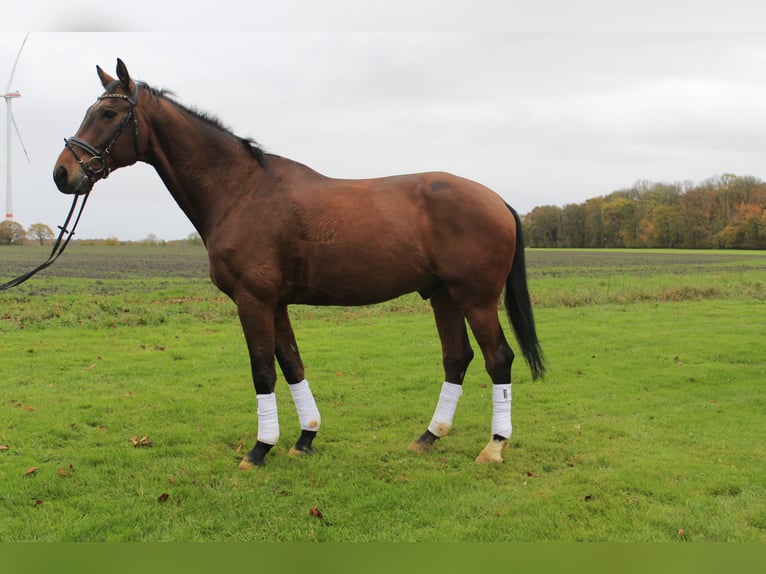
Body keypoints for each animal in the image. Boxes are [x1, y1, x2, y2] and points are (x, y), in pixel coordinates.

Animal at [52, 60, 544, 470]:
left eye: (108, 114)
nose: (62, 174)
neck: (241, 191)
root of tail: (498, 201)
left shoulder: (252, 300)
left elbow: (263, 371)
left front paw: (259, 448)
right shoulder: (276, 302)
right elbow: (291, 364)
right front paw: (305, 438)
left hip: (476, 298)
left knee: (498, 359)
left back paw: (494, 446)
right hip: (442, 295)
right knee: (456, 358)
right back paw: (429, 436)